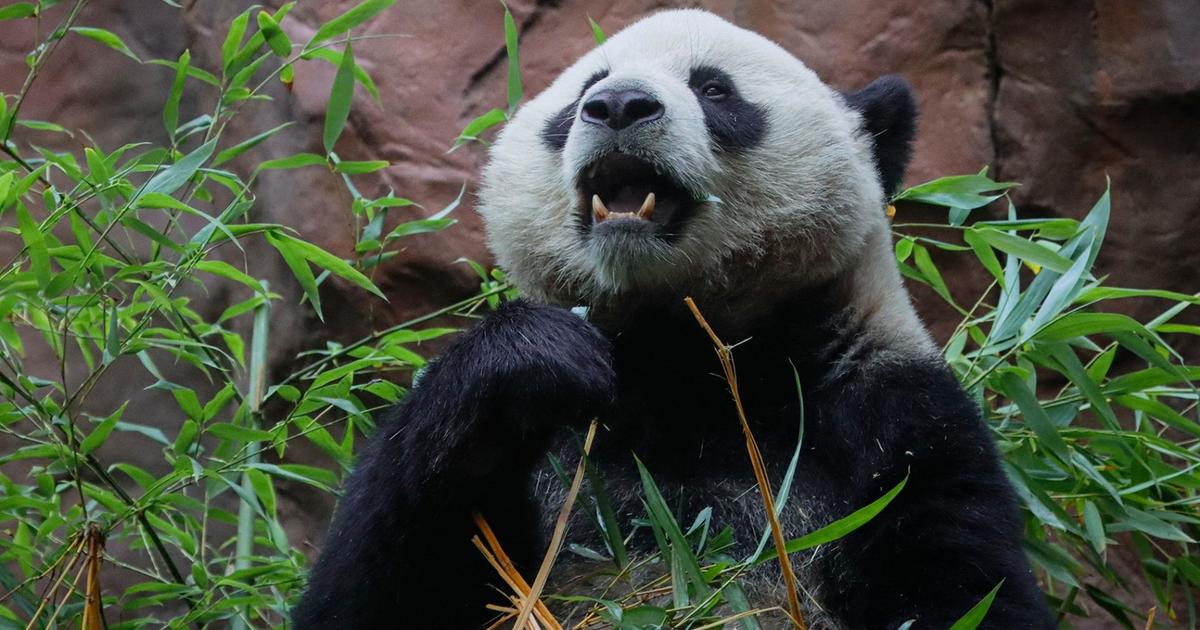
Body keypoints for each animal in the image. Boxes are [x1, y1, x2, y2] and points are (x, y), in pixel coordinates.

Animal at [295, 9, 1056, 628]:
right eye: (585, 89)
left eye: (715, 89)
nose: (617, 105)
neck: (682, 347)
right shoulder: (566, 451)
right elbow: (371, 589)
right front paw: (525, 361)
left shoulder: (890, 423)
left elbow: (965, 589)